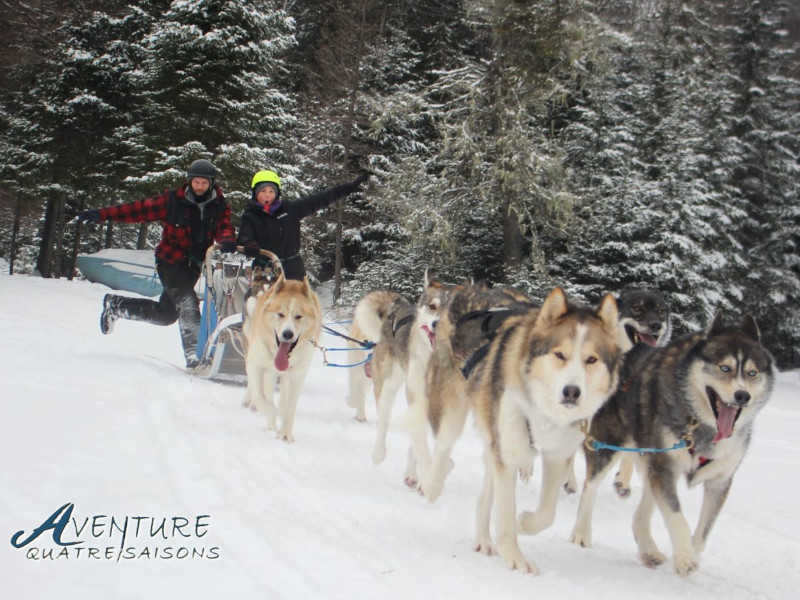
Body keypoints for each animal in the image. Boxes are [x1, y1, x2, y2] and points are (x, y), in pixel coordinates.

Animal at [244, 270, 322, 440]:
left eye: (298, 316)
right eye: (280, 314)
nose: (287, 334)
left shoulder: (297, 376)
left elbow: (290, 407)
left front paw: (285, 434)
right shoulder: (255, 365)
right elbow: (261, 397)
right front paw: (271, 416)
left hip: (284, 376)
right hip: (266, 370)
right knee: (259, 391)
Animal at [568, 312, 776, 576]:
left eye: (752, 373)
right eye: (724, 368)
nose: (742, 396)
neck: (700, 424)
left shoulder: (718, 481)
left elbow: (703, 532)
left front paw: (691, 552)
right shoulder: (665, 468)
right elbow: (676, 517)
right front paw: (685, 557)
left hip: (651, 460)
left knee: (641, 512)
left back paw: (648, 550)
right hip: (609, 445)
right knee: (590, 488)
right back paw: (581, 533)